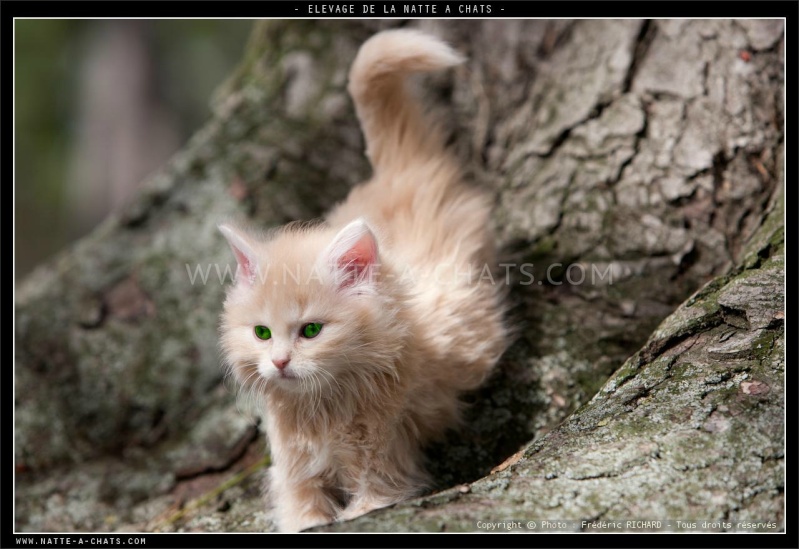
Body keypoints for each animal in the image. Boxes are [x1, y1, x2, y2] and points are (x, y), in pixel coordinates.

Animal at [219, 28, 506, 532]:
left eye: (311, 330)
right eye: (262, 333)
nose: (279, 362)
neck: (322, 408)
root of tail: (398, 170)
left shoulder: (384, 457)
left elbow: (371, 502)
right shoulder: (294, 468)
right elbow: (301, 513)